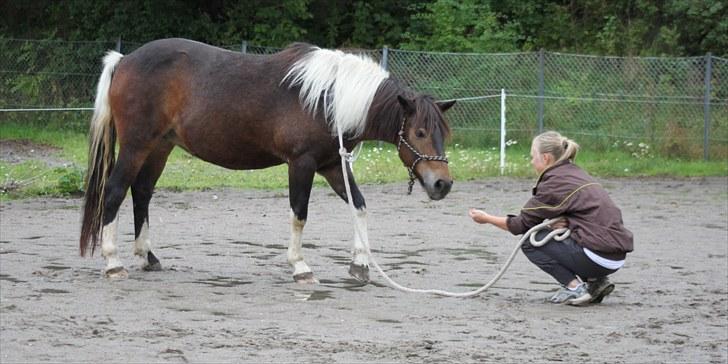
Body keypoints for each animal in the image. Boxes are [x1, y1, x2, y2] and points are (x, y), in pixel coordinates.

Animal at [79, 39, 456, 284]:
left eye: (443, 133)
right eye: (420, 132)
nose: (443, 183)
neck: (328, 99)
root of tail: (124, 60)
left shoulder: (333, 166)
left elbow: (360, 207)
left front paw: (360, 264)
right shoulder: (301, 164)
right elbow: (299, 216)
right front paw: (300, 267)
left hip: (160, 146)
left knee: (141, 192)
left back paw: (148, 256)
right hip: (136, 145)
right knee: (115, 191)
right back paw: (113, 262)